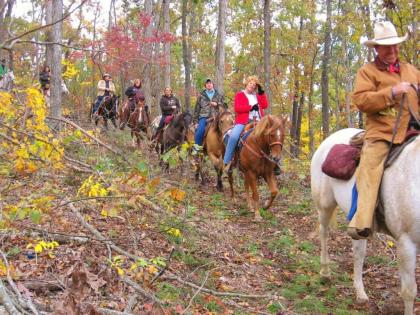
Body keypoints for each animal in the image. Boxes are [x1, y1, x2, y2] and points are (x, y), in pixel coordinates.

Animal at [312, 128, 420, 315]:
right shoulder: (407, 242)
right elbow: (409, 291)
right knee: (324, 233)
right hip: (325, 205)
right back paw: (325, 272)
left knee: (358, 252)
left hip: (360, 222)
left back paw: (360, 293)